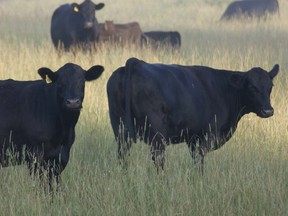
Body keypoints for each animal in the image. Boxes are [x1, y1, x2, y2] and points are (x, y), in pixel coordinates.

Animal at [107, 57, 278, 174]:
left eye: (270, 86)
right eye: (252, 87)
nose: (268, 111)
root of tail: (137, 63)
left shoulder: (192, 138)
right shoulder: (207, 135)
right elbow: (199, 160)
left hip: (119, 127)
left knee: (122, 154)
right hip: (157, 135)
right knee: (158, 159)